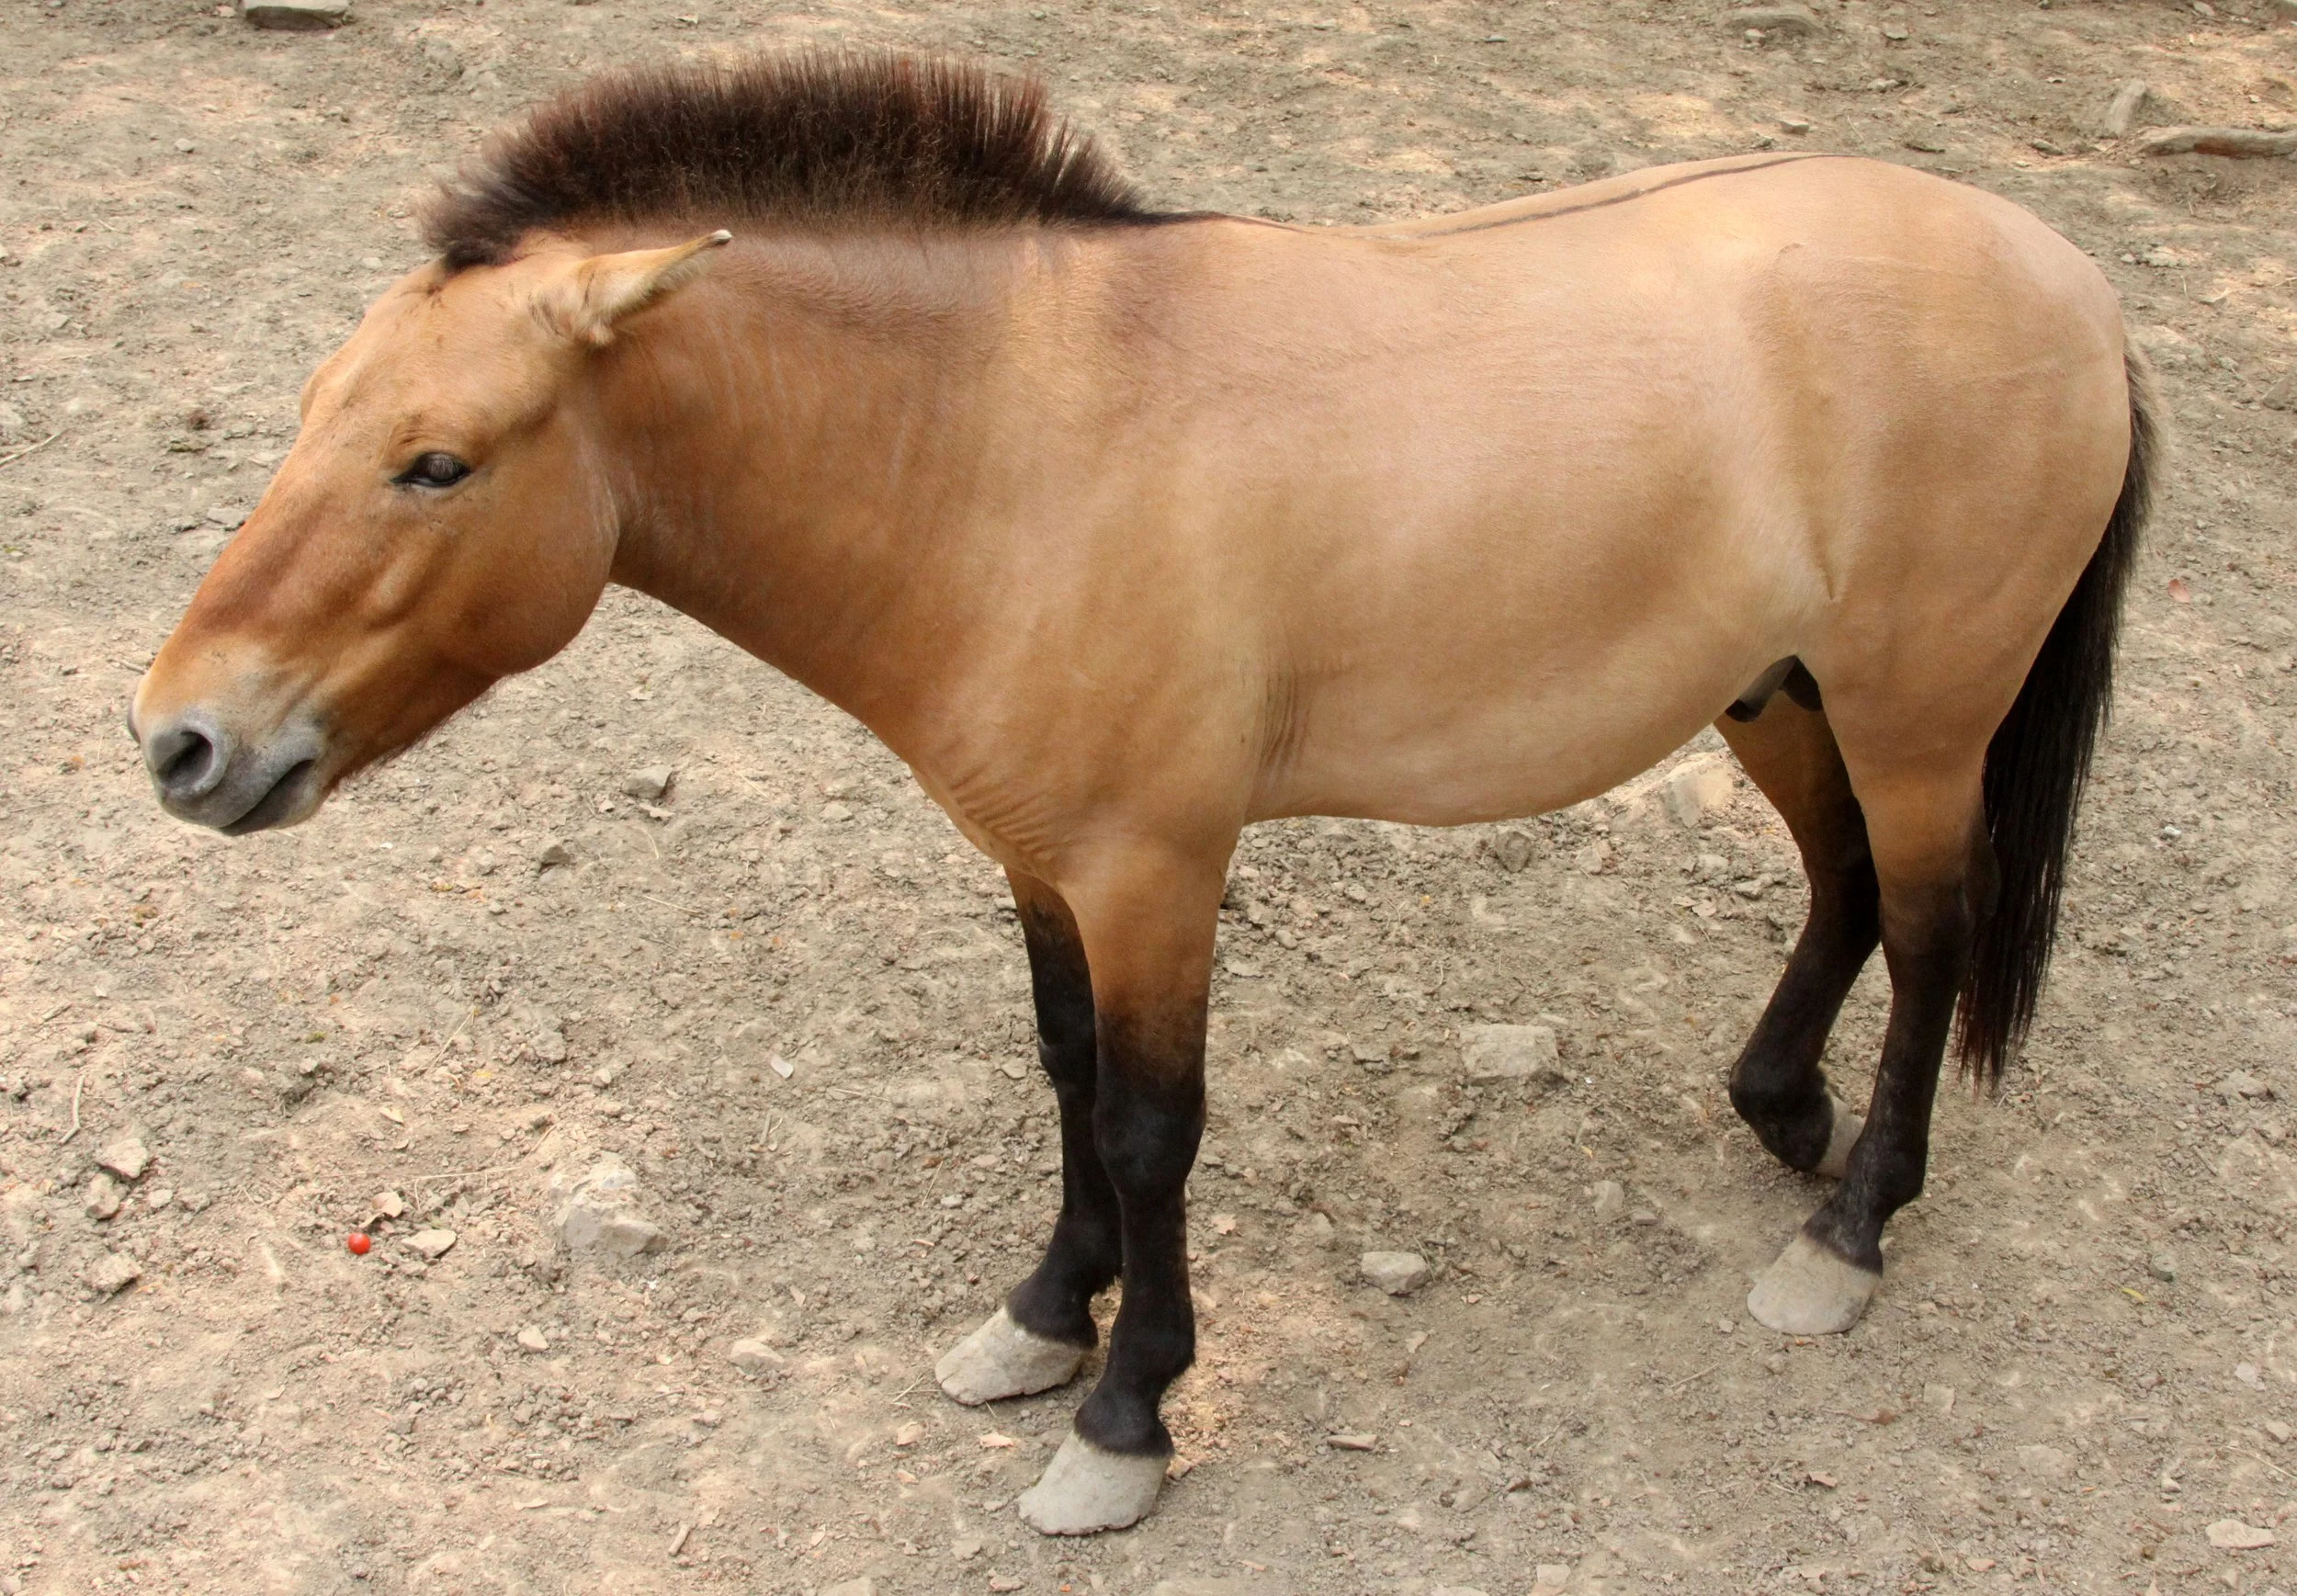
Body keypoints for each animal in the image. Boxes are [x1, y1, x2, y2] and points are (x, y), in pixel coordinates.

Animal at [127, 52, 2156, 1536]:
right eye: (316, 411)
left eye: (437, 461)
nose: (180, 741)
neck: (1007, 441)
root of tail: (2063, 278)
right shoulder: (1042, 862)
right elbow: (1064, 1077)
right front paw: (1041, 1317)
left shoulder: (1154, 870)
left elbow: (1148, 1121)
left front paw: (1124, 1412)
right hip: (1777, 695)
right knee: (1842, 892)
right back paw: (1778, 1110)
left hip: (1914, 716)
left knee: (1926, 932)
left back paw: (1844, 1231)